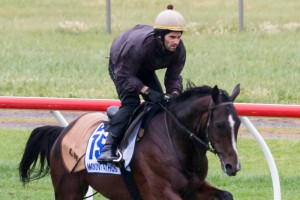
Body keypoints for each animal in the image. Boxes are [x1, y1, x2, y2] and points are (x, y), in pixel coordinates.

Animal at [18, 83, 241, 200]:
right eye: (219, 124)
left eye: (238, 123)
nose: (234, 165)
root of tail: (63, 131)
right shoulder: (162, 192)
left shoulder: (194, 188)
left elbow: (226, 195)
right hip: (68, 189)